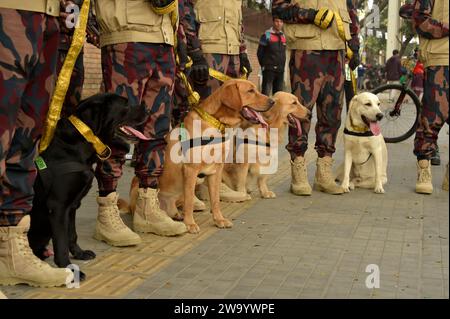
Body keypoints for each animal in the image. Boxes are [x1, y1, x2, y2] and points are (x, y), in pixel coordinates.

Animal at [27, 92, 148, 280]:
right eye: (126, 104)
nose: (147, 109)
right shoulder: (58, 206)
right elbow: (61, 242)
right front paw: (69, 269)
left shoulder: (72, 206)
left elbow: (72, 234)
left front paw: (79, 253)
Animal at [156, 79, 272, 235]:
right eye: (250, 91)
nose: (272, 101)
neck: (216, 123)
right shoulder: (191, 170)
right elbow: (189, 201)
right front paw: (190, 224)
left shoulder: (216, 170)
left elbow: (215, 199)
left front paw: (219, 220)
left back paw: (177, 215)